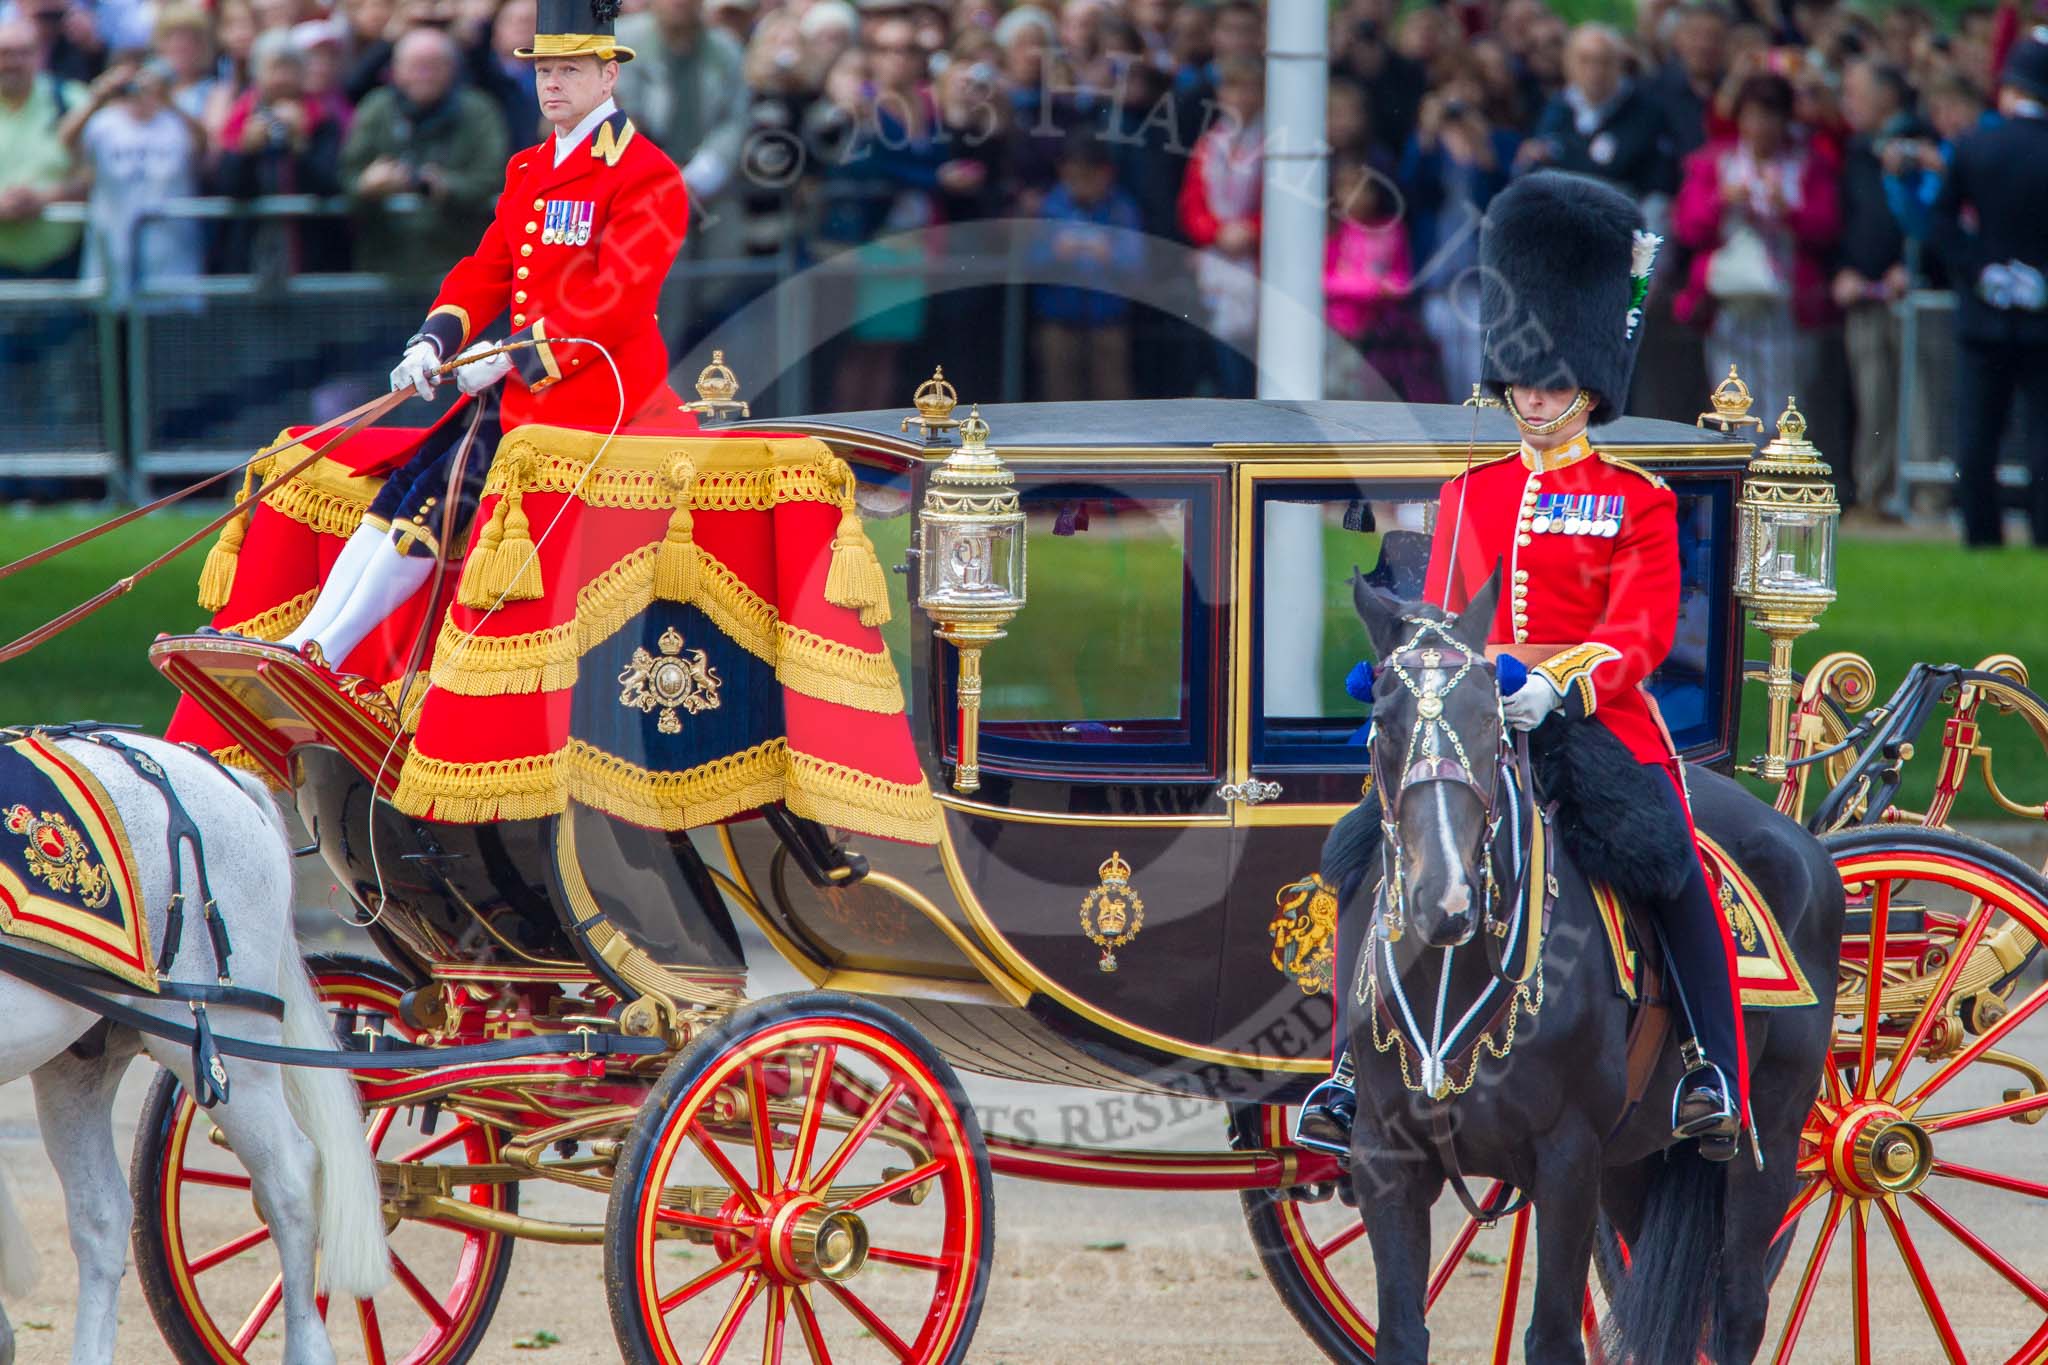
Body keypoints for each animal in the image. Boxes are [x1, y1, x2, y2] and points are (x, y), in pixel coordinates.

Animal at [1335, 577, 1851, 1365]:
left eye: (1490, 720)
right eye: (1381, 724)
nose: (1445, 898)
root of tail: (1804, 842)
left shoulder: (1568, 1160)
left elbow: (1551, 1335)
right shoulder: (1385, 1160)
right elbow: (1399, 1332)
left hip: (1770, 1133)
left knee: (1737, 1309)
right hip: (1637, 1162)